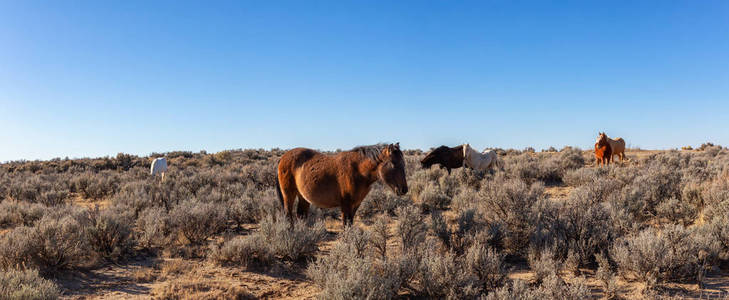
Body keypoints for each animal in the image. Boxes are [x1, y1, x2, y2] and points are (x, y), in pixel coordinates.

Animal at [276, 143, 406, 225]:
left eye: (403, 164)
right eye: (394, 164)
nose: (404, 189)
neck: (358, 170)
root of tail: (283, 157)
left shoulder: (355, 205)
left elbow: (350, 224)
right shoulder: (345, 205)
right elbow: (345, 225)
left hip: (303, 197)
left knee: (301, 216)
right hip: (288, 195)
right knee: (288, 215)